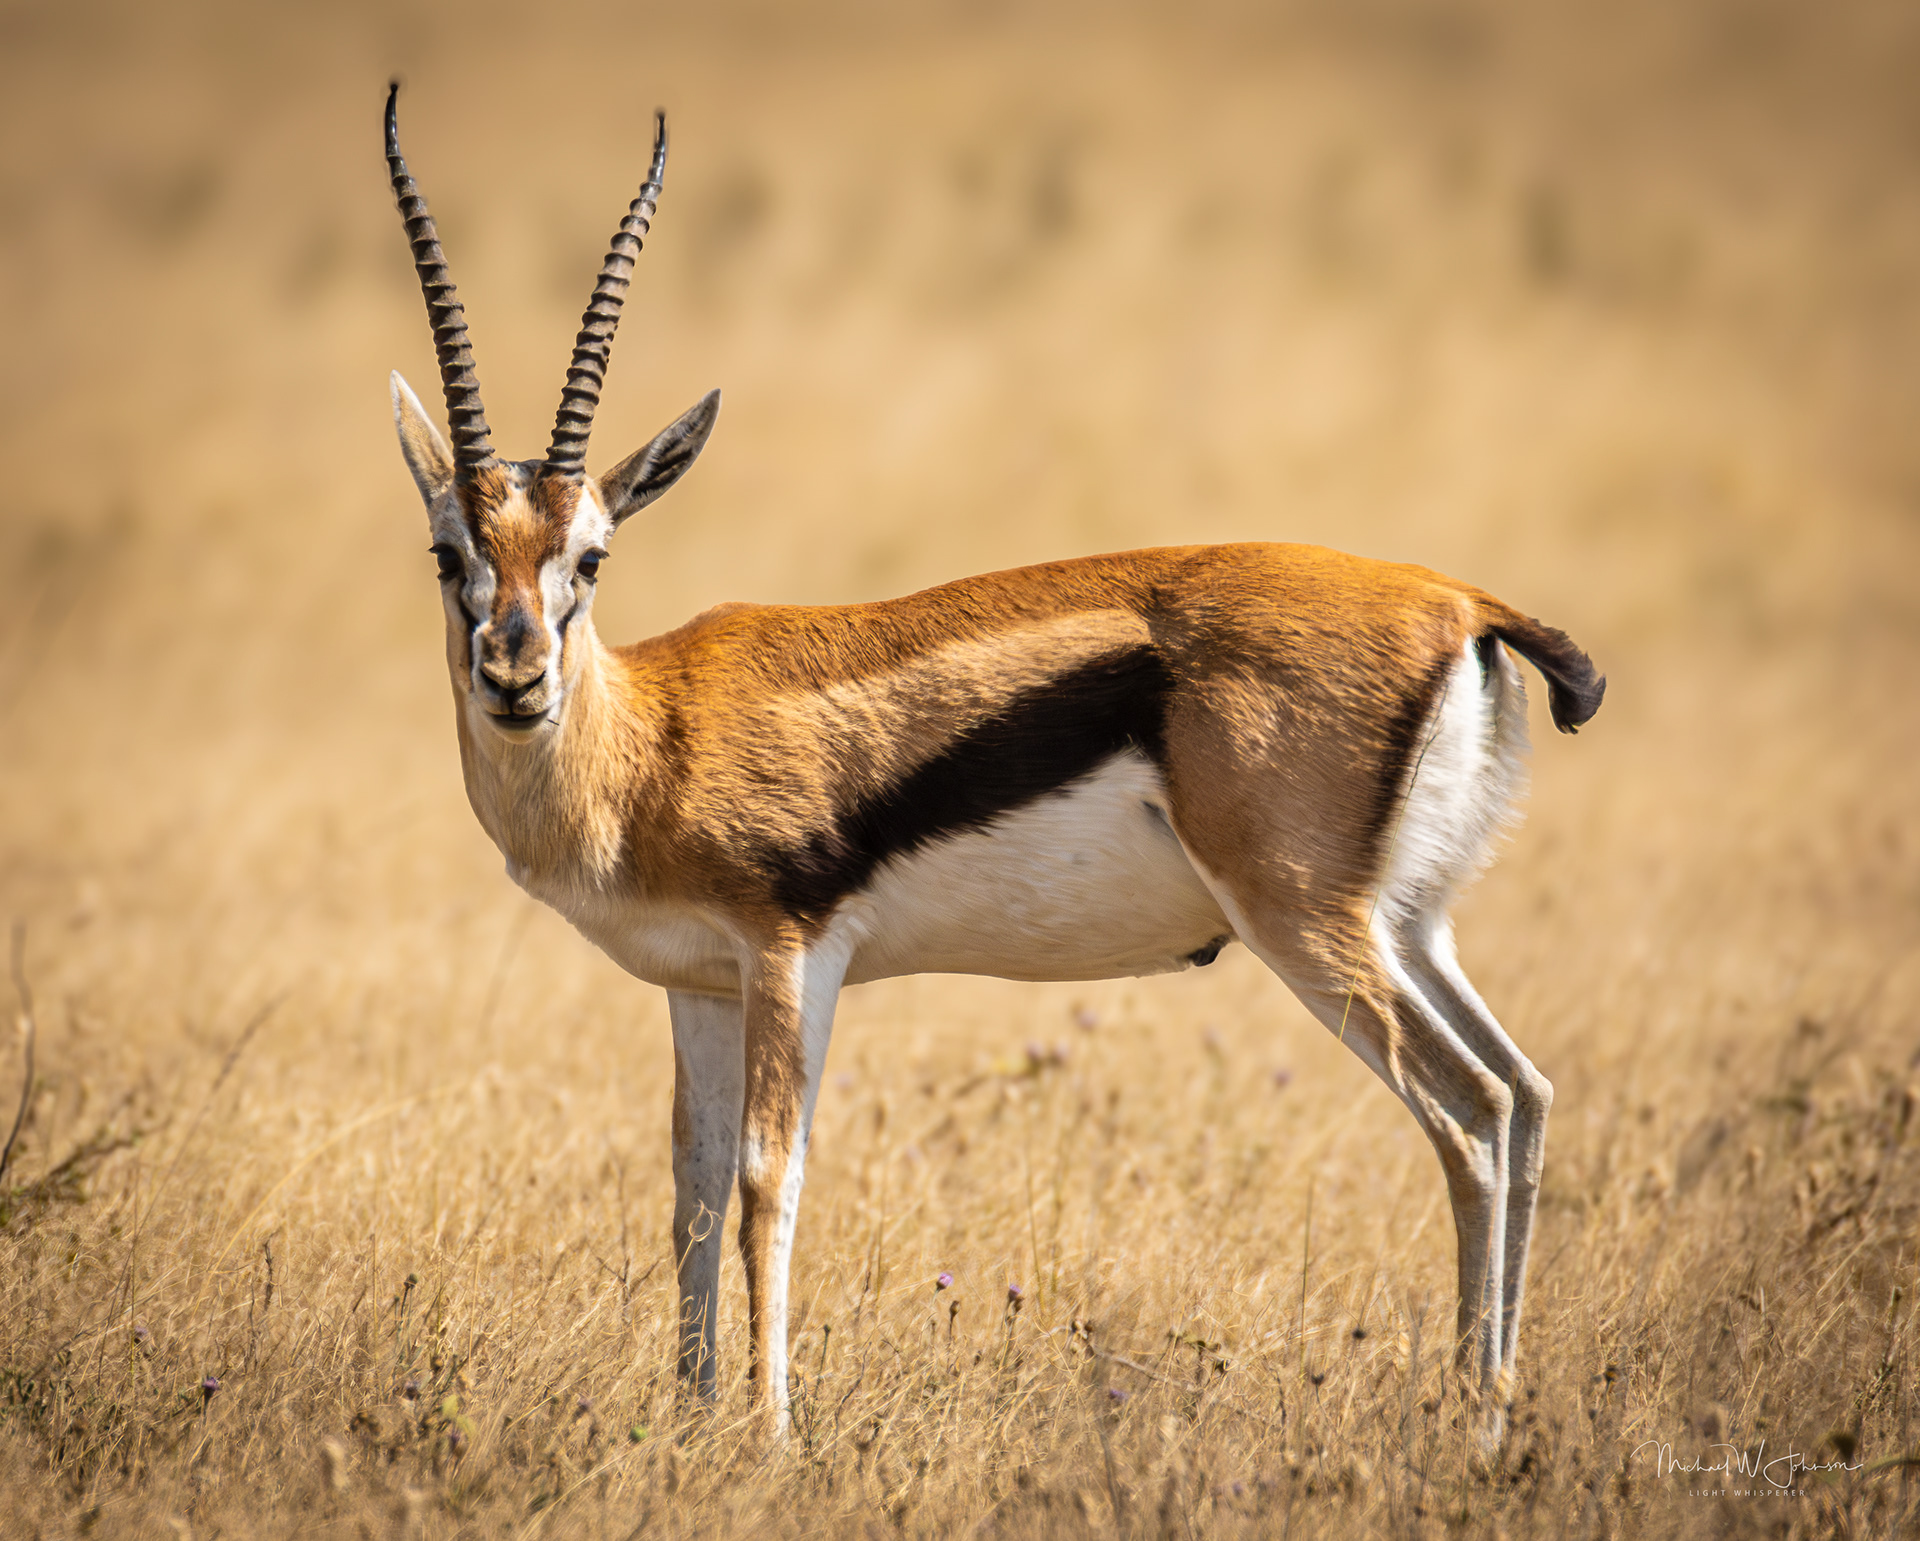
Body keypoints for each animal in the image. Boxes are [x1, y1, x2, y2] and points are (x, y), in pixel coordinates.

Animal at [383, 84, 1603, 1445]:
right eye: (449, 553)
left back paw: (1475, 1419)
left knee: (1474, 1112)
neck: (650, 737)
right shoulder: (697, 983)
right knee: (1528, 1091)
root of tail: (1462, 602)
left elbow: (765, 1178)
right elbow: (691, 1189)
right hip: (1407, 923)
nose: (515, 676)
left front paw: (771, 1431)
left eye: (590, 556)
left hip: (1305, 925)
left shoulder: (790, 955)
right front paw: (695, 1419)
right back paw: (1501, 1399)